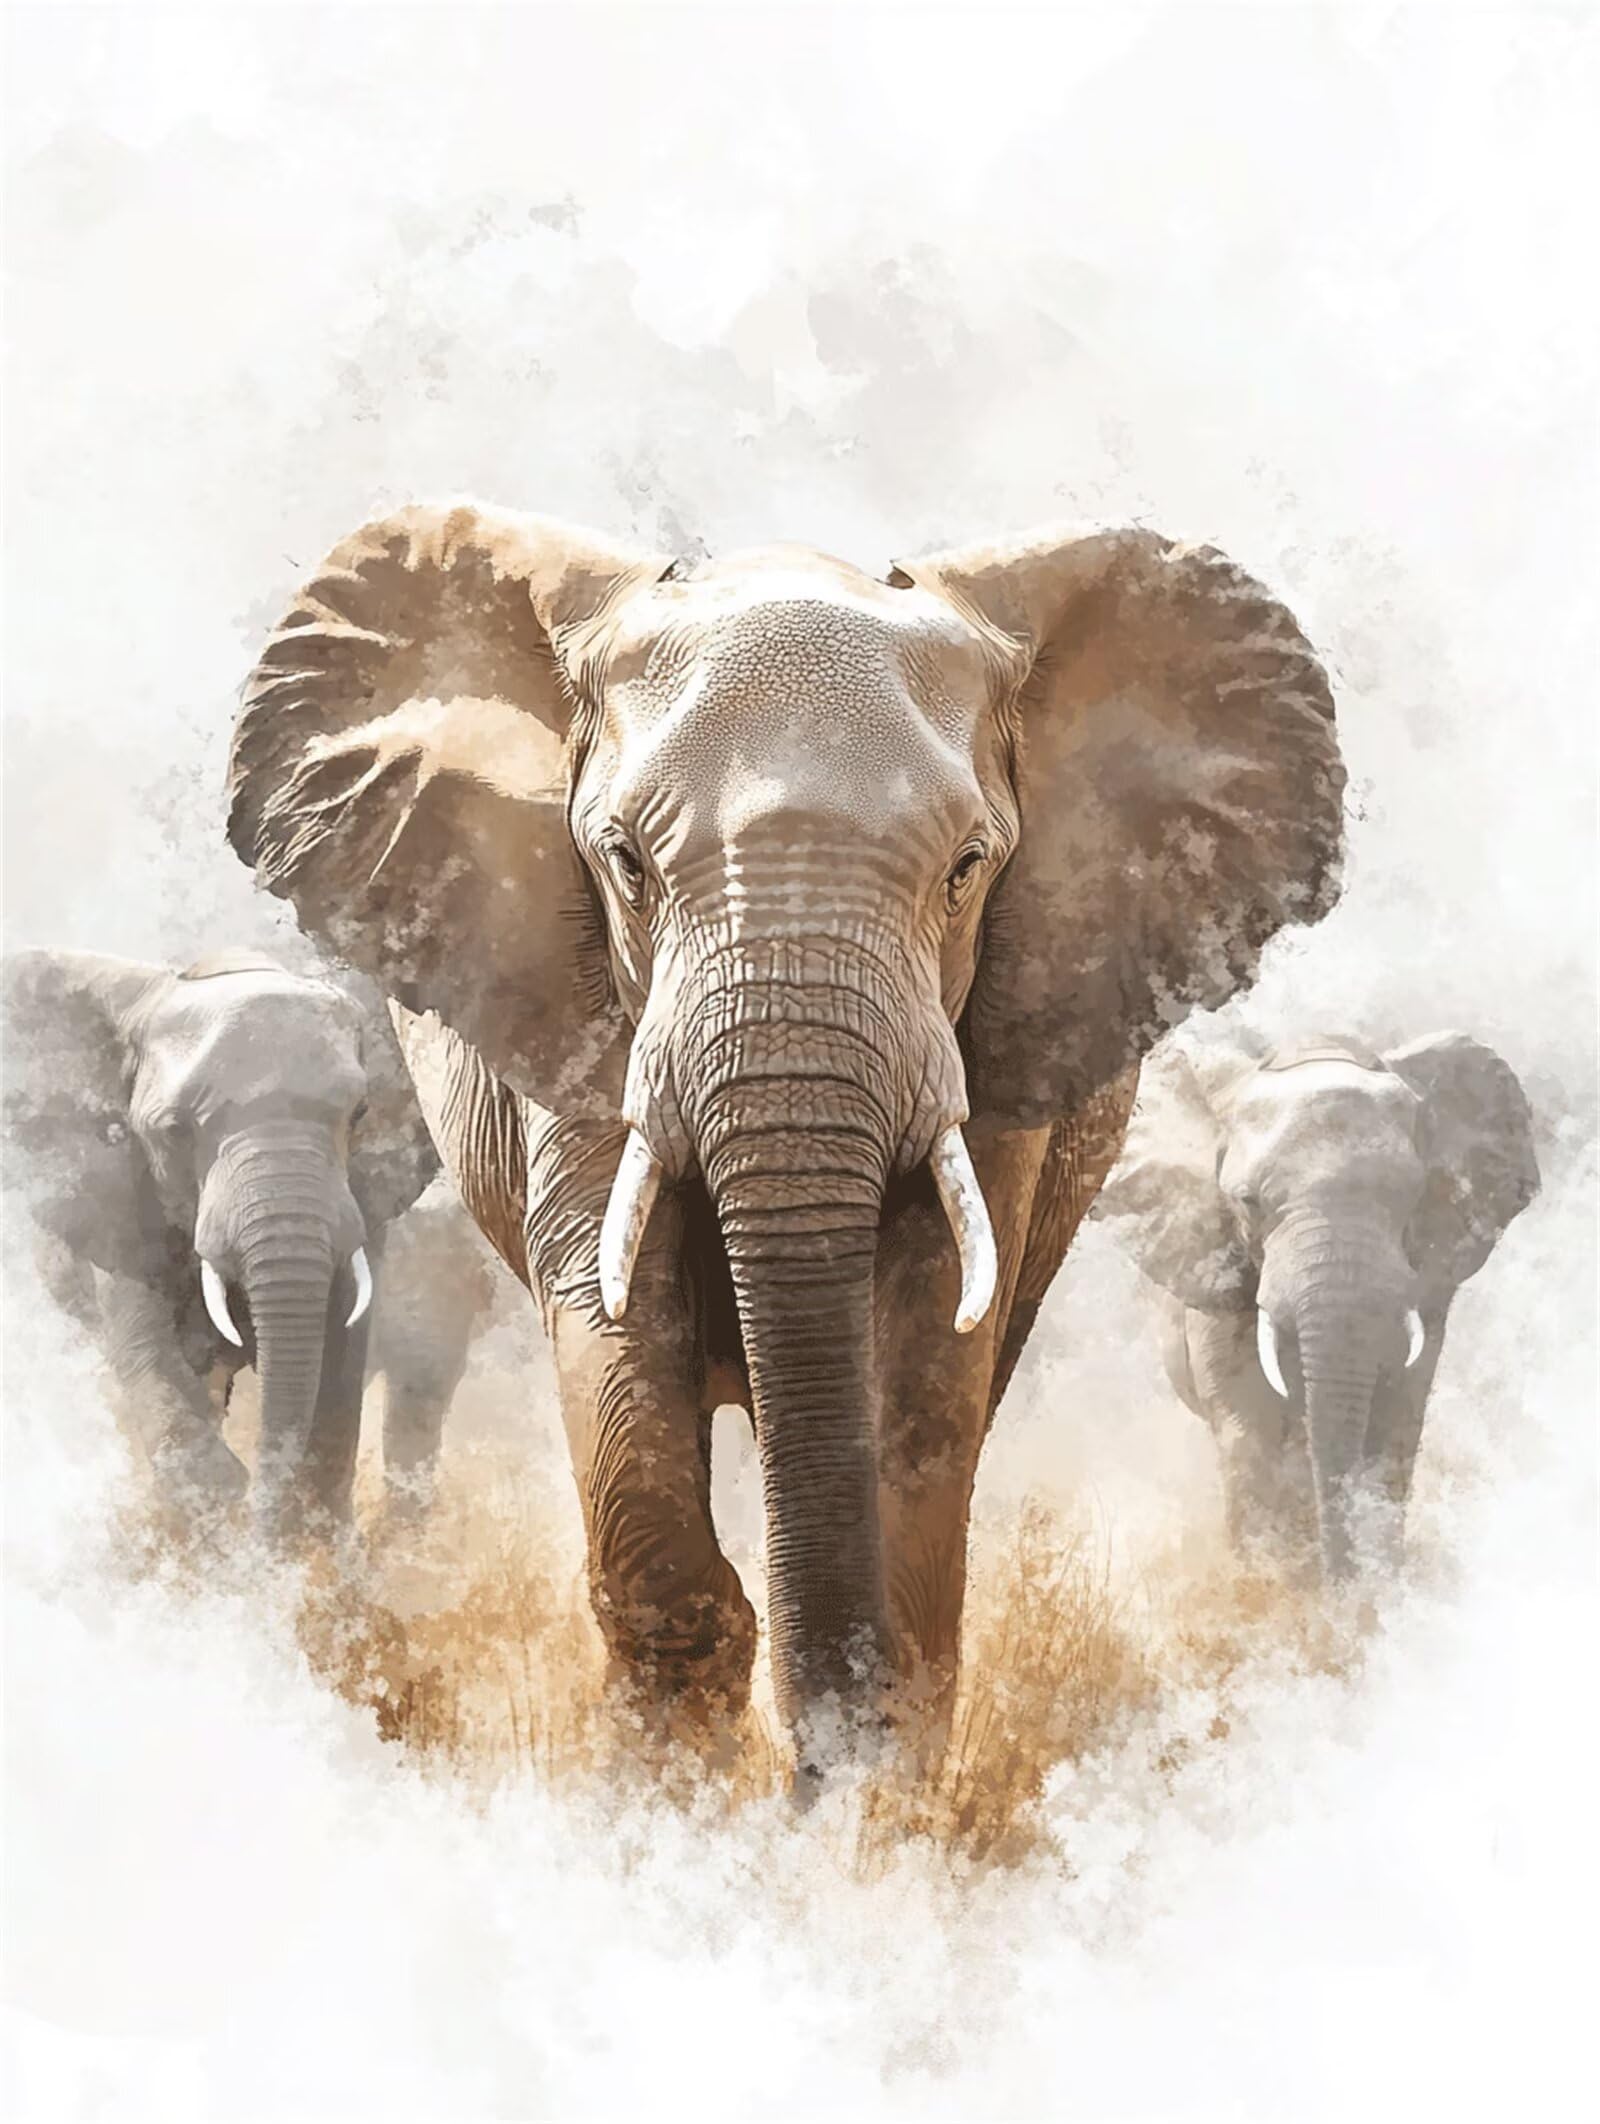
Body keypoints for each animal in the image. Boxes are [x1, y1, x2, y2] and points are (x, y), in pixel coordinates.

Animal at [2, 944, 437, 1534]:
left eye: (360, 1114)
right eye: (173, 1131)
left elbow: (339, 1362)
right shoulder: (123, 1200)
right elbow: (145, 1351)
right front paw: (225, 1510)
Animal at [224, 501, 1346, 1773]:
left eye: (967, 868)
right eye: (625, 862)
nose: (823, 1771)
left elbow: (928, 1342)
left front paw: (866, 1788)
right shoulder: (577, 1003)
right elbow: (614, 1305)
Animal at [1096, 1029, 1540, 1580]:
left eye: (1411, 1194)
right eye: (1248, 1202)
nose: (1340, 1587)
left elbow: (1393, 1423)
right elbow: (1253, 1435)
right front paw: (1273, 1588)